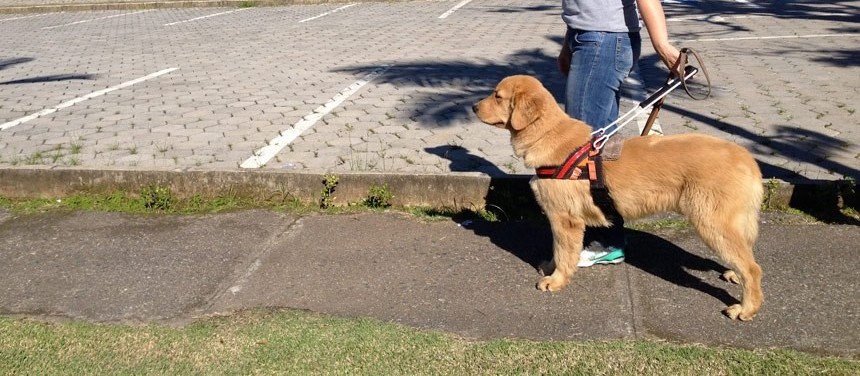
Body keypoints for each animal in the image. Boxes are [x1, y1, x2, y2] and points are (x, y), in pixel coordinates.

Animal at [474, 74, 764, 320]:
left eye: (497, 96)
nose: (474, 107)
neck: (547, 134)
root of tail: (747, 158)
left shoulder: (565, 219)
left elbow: (564, 252)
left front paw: (556, 280)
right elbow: (558, 251)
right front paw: (551, 267)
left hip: (711, 223)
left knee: (753, 268)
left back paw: (746, 308)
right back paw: (733, 274)